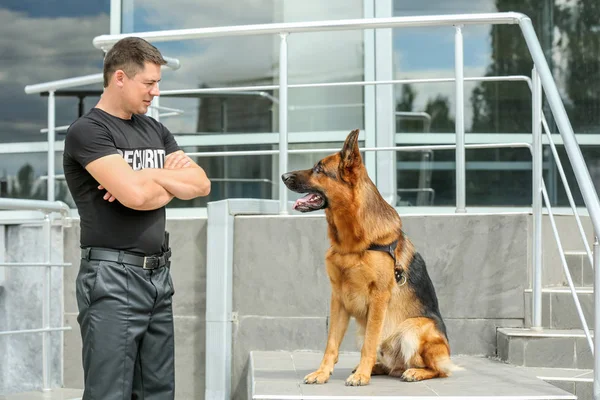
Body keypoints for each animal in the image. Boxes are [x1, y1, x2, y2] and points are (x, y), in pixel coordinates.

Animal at [282, 130, 460, 386]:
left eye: (319, 169)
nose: (283, 176)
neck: (352, 244)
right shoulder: (338, 298)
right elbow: (331, 343)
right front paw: (323, 372)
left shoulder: (378, 298)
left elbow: (369, 343)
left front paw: (361, 377)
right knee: (391, 365)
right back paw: (375, 368)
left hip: (414, 328)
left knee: (438, 369)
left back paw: (413, 372)